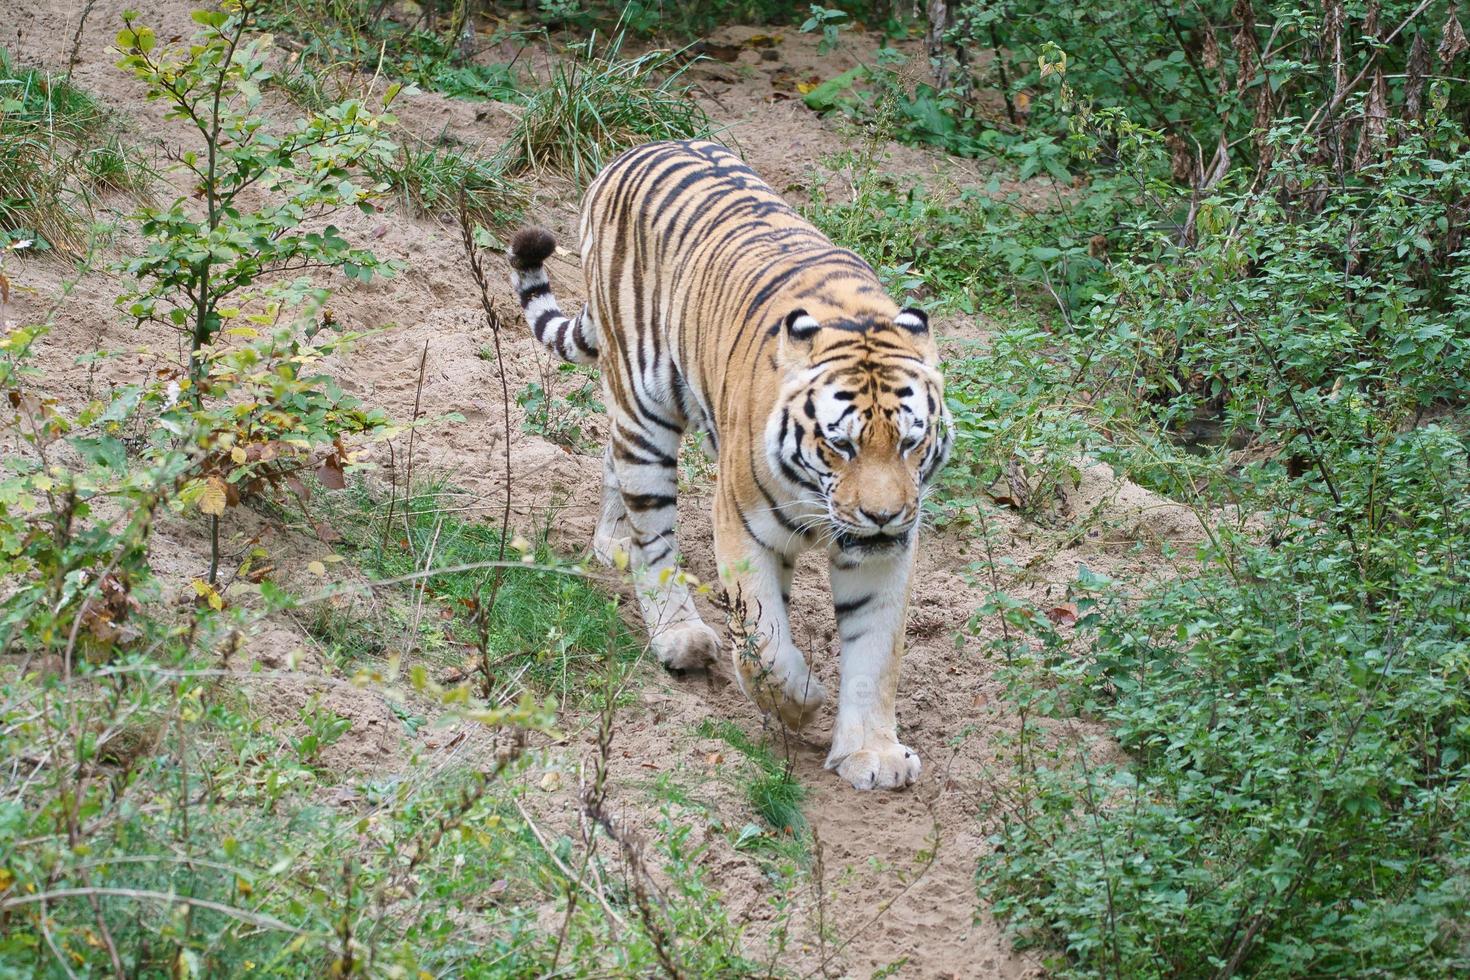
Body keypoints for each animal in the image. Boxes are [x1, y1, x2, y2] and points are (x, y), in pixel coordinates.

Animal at [508, 141, 952, 793]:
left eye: (910, 444)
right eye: (841, 445)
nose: (881, 515)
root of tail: (630, 154)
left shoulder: (886, 553)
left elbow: (876, 651)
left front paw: (872, 754)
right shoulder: (744, 525)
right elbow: (763, 643)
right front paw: (800, 700)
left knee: (614, 464)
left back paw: (611, 542)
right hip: (646, 415)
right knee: (653, 537)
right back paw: (679, 636)